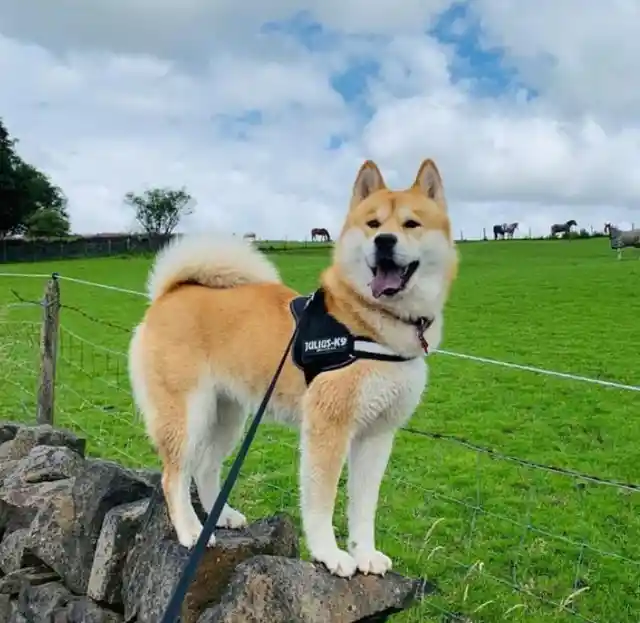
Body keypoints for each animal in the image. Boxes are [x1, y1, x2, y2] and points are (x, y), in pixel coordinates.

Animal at [127, 158, 458, 576]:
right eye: (373, 223)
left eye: (411, 224)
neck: (370, 323)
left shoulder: (377, 435)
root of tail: (170, 293)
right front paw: (330, 554)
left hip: (226, 417)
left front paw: (364, 553)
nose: (384, 241)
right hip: (188, 416)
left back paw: (222, 516)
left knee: (205, 468)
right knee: (174, 476)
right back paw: (190, 530)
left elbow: (363, 508)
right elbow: (321, 504)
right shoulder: (327, 430)